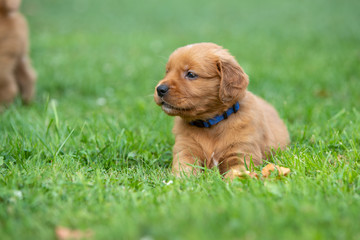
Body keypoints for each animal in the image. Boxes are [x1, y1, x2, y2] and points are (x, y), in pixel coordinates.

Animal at [154, 42, 290, 178]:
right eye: (167, 71)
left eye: (191, 74)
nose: (160, 89)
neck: (210, 125)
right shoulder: (186, 150)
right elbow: (183, 172)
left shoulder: (241, 155)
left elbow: (235, 175)